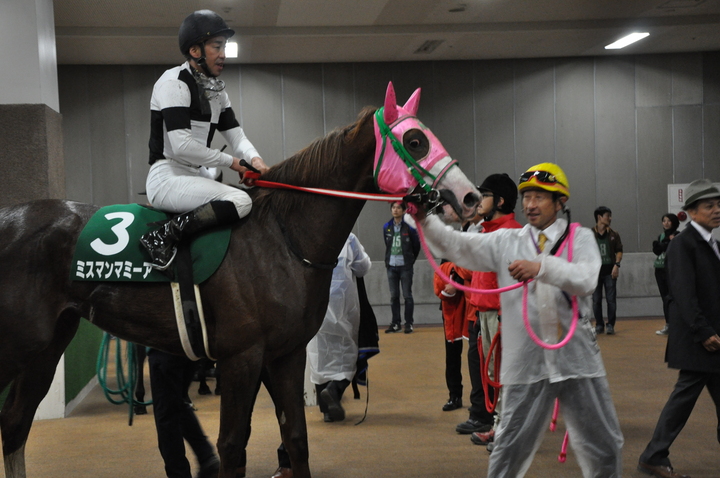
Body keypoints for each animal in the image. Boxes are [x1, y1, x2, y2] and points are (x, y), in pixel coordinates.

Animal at [0, 82, 480, 478]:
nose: (470, 197)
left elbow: (296, 440)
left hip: (45, 349)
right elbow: (232, 446)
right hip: (21, 348)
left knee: (15, 427)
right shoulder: (242, 358)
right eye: (415, 141)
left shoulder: (284, 356)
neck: (283, 237)